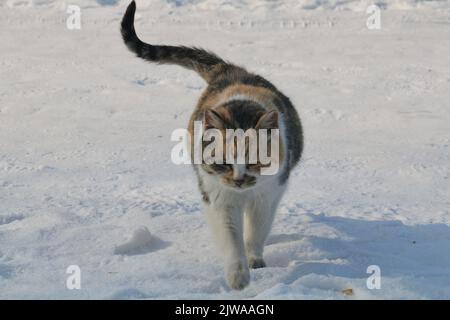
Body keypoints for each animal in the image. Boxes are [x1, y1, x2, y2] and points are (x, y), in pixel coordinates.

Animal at [121, 0, 302, 290]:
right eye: (224, 162)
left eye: (253, 161)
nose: (238, 180)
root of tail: (230, 70)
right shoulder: (218, 198)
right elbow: (231, 240)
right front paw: (238, 277)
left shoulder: (267, 194)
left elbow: (256, 231)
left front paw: (255, 261)